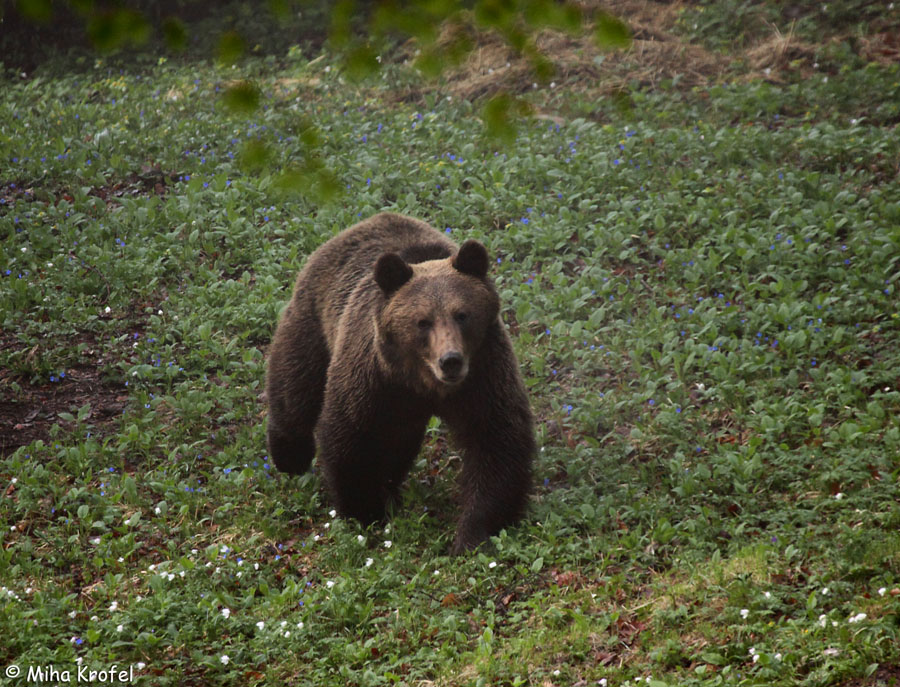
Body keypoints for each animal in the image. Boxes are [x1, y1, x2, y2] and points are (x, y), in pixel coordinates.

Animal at [268, 212, 536, 552]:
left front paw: (471, 534)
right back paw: (289, 457)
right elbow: (351, 436)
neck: (422, 382)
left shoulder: (483, 375)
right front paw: (365, 513)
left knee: (399, 441)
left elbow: (498, 441)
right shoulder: (373, 378)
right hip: (314, 320)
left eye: (462, 314)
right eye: (423, 321)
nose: (450, 360)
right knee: (295, 389)